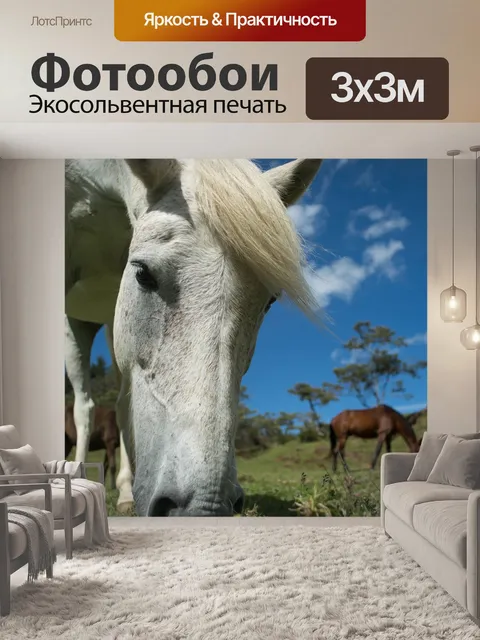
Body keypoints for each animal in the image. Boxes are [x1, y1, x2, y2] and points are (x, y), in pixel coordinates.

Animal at [65, 158, 322, 516]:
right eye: (142, 273)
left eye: (270, 300)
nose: (205, 507)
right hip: (76, 326)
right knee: (85, 407)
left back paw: (126, 493)